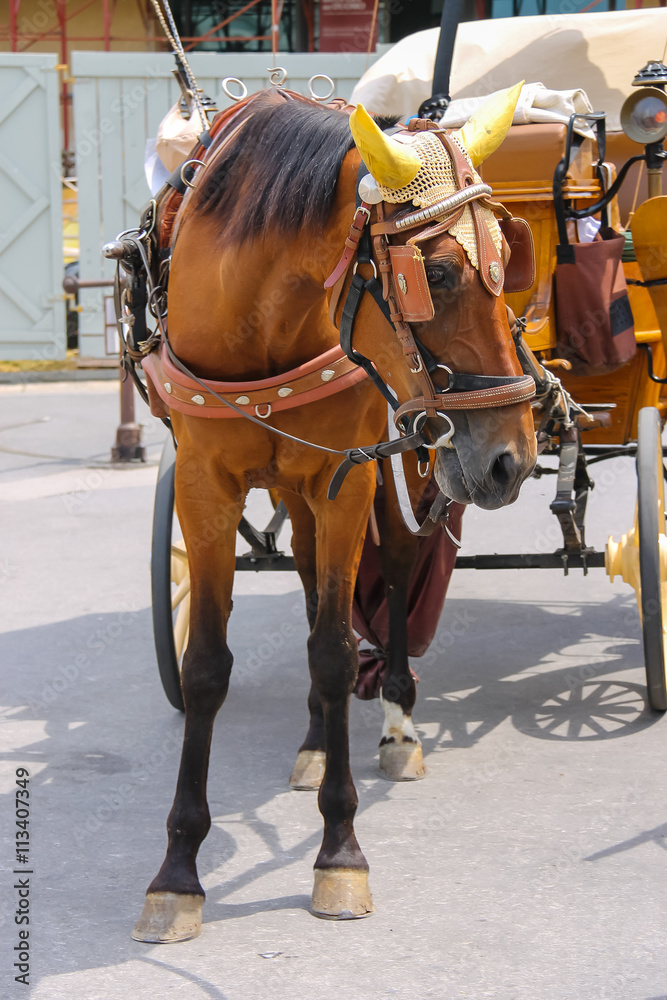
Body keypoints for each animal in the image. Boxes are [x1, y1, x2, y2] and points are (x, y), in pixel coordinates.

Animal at [132, 83, 537, 942]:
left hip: (398, 458)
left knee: (391, 569)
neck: (261, 309)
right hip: (302, 477)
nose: (511, 459)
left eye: (507, 254)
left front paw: (340, 853)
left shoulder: (344, 480)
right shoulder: (204, 486)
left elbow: (332, 650)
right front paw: (177, 871)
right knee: (312, 575)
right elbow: (207, 664)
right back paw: (320, 738)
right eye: (436, 271)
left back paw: (396, 722)